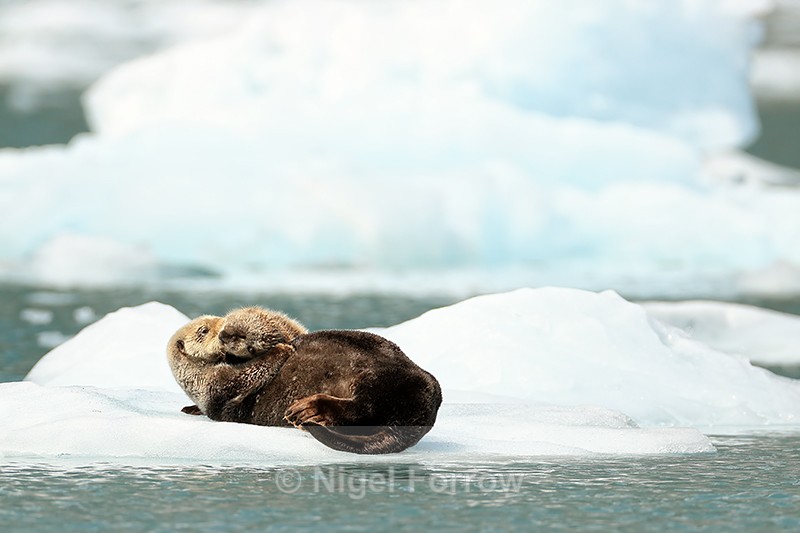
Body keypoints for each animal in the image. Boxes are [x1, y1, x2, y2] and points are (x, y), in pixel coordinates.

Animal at [167, 307, 442, 454]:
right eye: (204, 331)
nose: (224, 334)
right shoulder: (216, 387)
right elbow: (244, 377)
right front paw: (280, 350)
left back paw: (306, 411)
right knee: (360, 410)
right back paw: (306, 412)